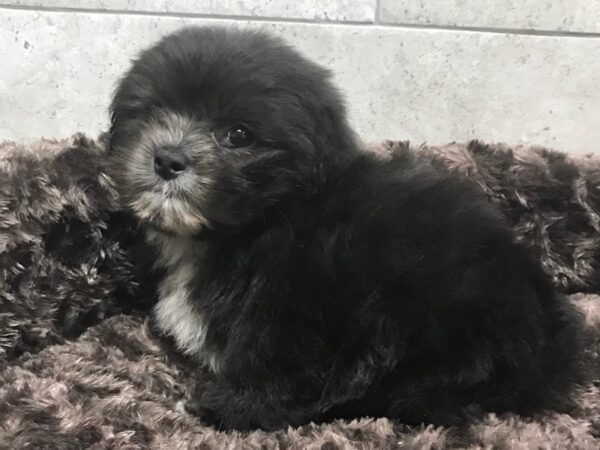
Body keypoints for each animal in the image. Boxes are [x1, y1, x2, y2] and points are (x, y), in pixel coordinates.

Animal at [108, 25, 580, 432]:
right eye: (151, 111)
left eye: (237, 135)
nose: (168, 158)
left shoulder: (297, 302)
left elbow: (279, 365)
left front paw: (228, 407)